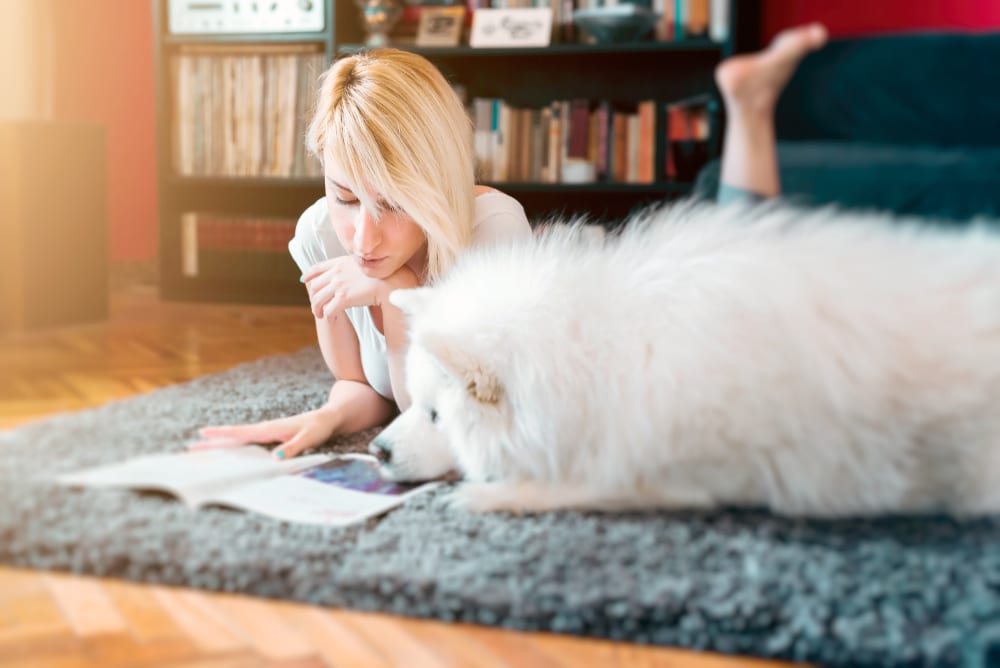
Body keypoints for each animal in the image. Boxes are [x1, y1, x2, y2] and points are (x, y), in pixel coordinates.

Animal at [372, 202, 1000, 516]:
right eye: (415, 405)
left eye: (437, 415)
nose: (376, 451)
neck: (601, 354)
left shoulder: (676, 470)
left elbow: (580, 481)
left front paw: (486, 495)